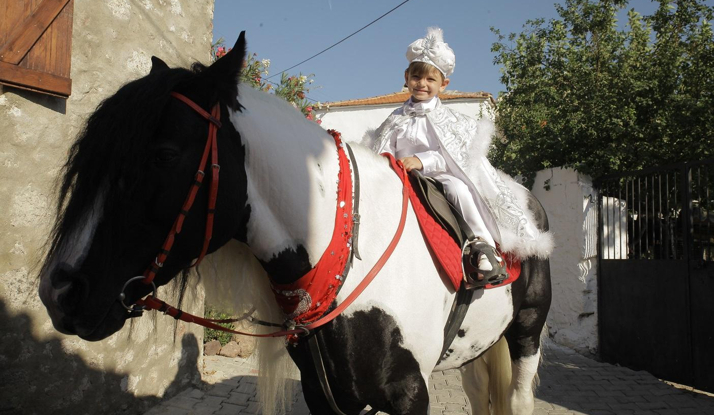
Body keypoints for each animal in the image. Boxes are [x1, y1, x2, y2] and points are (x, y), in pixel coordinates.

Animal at [37, 33, 552, 415]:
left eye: (162, 156)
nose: (59, 291)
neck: (348, 254)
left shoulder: (410, 395)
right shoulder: (325, 395)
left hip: (526, 334)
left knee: (518, 398)